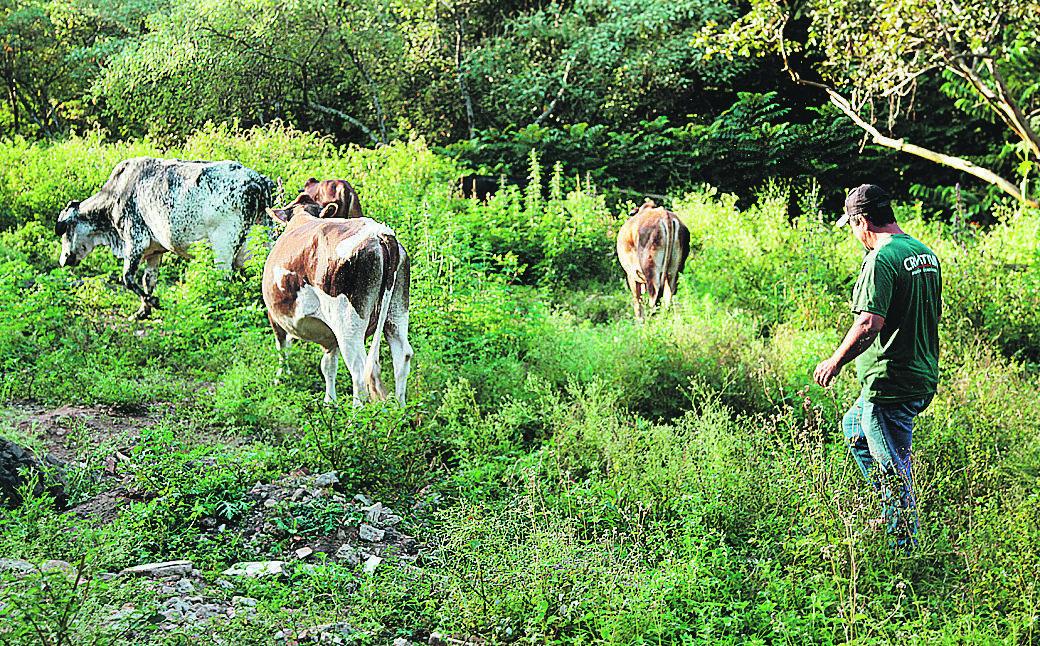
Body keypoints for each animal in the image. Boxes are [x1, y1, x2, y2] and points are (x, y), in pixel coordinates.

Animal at [54, 156, 274, 318]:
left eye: (64, 229)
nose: (63, 259)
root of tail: (257, 182)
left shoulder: (135, 241)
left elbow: (128, 278)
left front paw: (154, 303)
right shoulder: (155, 250)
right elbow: (148, 280)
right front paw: (142, 312)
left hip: (223, 246)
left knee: (223, 278)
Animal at [262, 197, 411, 403]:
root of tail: (380, 234)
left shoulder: (274, 316)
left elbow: (282, 348)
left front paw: (281, 378)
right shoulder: (329, 335)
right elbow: (328, 366)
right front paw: (330, 402)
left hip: (348, 322)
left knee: (359, 369)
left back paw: (357, 412)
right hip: (397, 312)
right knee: (402, 357)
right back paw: (400, 408)